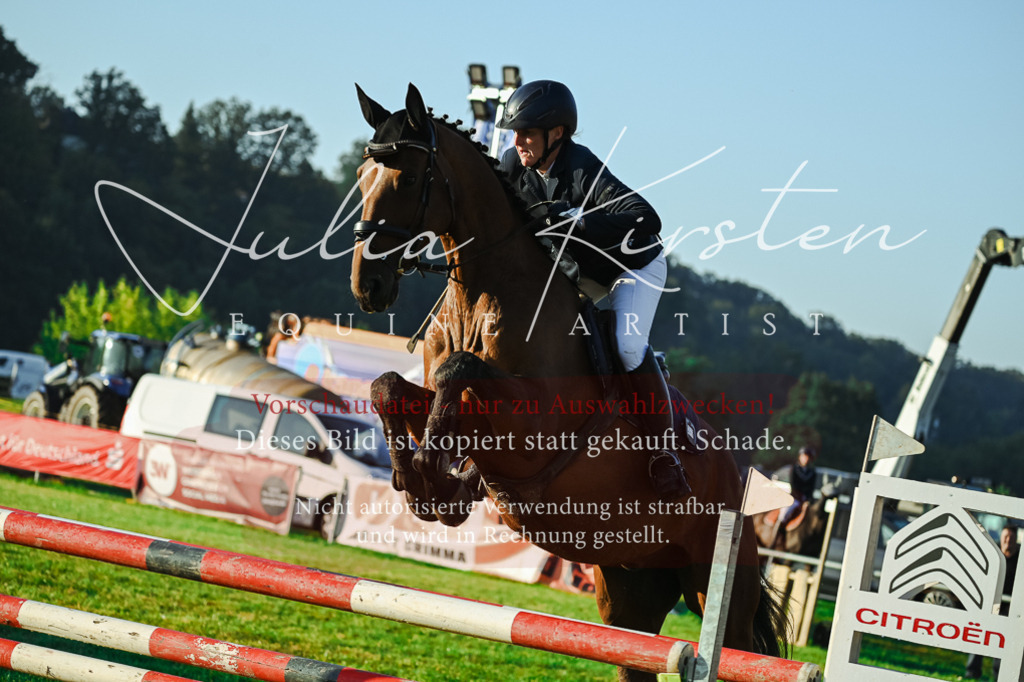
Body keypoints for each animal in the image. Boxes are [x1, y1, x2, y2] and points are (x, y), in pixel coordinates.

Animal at [349, 83, 788, 681]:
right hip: (630, 591)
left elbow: (456, 371)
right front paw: (422, 483)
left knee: (736, 646)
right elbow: (391, 386)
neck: (483, 295)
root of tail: (740, 482)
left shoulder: (531, 426)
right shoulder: (457, 405)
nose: (366, 286)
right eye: (361, 176)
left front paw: (435, 475)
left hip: (718, 590)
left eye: (410, 178)